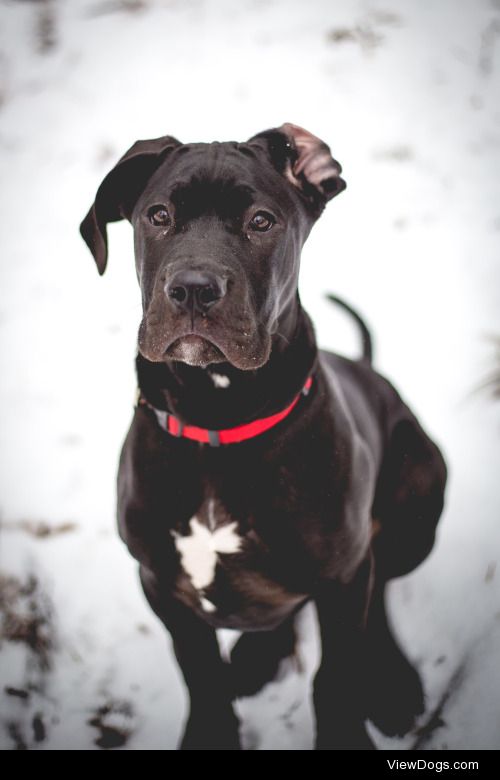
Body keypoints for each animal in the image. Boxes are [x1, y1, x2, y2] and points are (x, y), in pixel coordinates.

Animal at [80, 125, 448, 752]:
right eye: (158, 215)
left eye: (261, 221)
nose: (193, 289)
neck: (218, 424)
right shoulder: (159, 582)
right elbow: (199, 671)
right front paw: (210, 730)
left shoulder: (343, 576)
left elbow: (334, 674)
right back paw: (257, 655)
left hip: (415, 501)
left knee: (378, 593)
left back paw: (392, 683)